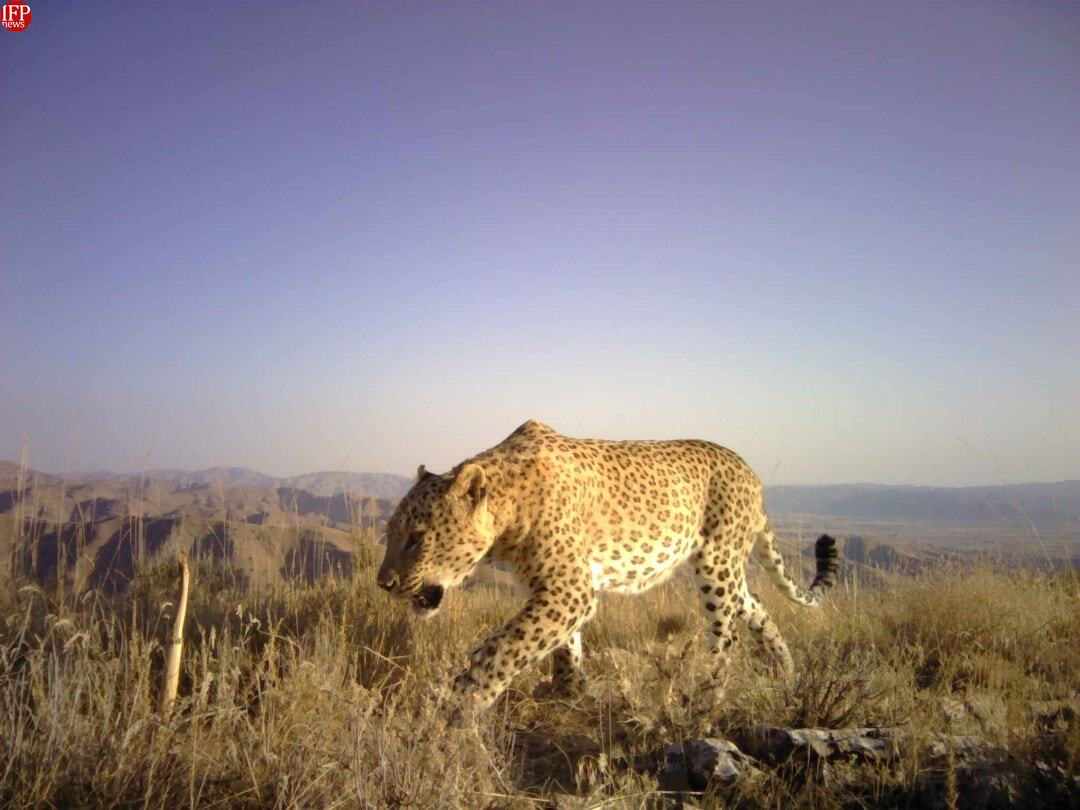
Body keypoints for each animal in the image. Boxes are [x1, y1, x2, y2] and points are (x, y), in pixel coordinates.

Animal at [375, 421, 838, 721]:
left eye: (416, 537)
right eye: (390, 532)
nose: (384, 583)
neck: (509, 507)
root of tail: (751, 473)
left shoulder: (568, 590)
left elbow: (502, 649)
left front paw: (456, 705)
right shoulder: (555, 590)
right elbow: (563, 647)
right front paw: (571, 694)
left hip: (716, 563)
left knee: (728, 633)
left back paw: (708, 698)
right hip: (726, 569)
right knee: (755, 606)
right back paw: (785, 668)